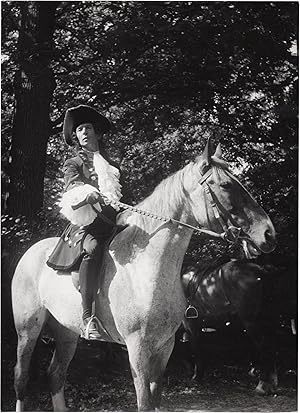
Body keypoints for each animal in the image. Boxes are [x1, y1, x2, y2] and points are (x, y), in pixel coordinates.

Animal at [180, 260, 282, 394]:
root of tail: (262, 271)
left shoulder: (191, 324)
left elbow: (196, 349)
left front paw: (197, 376)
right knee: (272, 345)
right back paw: (272, 384)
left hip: (252, 322)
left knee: (264, 347)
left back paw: (262, 385)